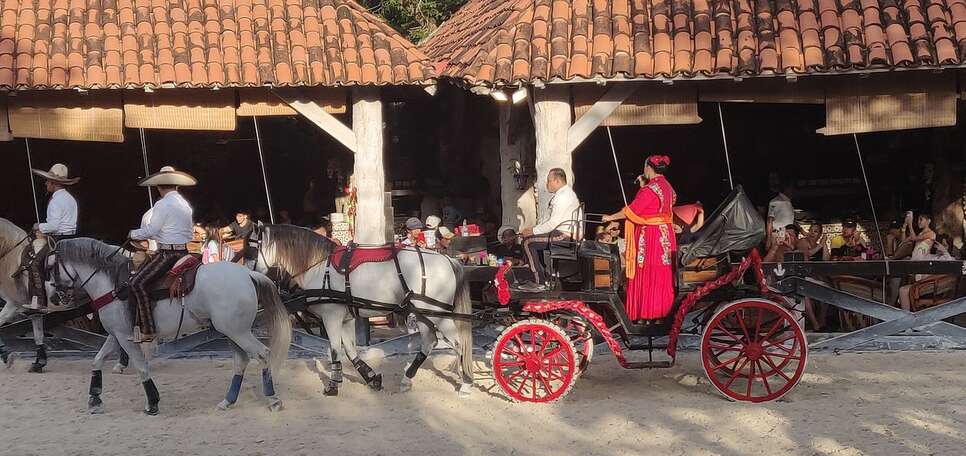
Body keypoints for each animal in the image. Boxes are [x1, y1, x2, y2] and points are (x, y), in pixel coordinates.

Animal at [0, 219, 130, 372]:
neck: (10, 258)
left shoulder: (13, 304)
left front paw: (6, 356)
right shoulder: (35, 310)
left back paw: (121, 363)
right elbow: (38, 335)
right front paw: (39, 362)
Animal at [253, 224, 472, 396]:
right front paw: (371, 378)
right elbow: (351, 351)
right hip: (424, 314)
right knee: (429, 342)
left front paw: (333, 385)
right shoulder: (346, 318)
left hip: (437, 315)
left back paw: (466, 383)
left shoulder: (331, 316)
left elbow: (335, 350)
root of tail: (449, 260)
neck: (319, 266)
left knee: (458, 344)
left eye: (252, 248)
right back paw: (407, 380)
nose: (251, 275)